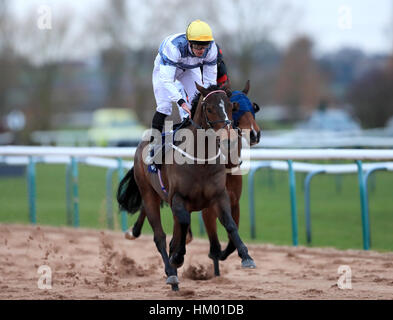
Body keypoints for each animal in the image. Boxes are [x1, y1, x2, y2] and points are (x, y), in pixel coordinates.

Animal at [117, 84, 254, 292]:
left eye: (232, 106)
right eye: (209, 109)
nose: (228, 139)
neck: (200, 160)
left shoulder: (219, 196)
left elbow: (230, 224)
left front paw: (246, 256)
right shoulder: (179, 199)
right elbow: (181, 227)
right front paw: (178, 258)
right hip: (149, 194)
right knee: (159, 236)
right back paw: (171, 274)